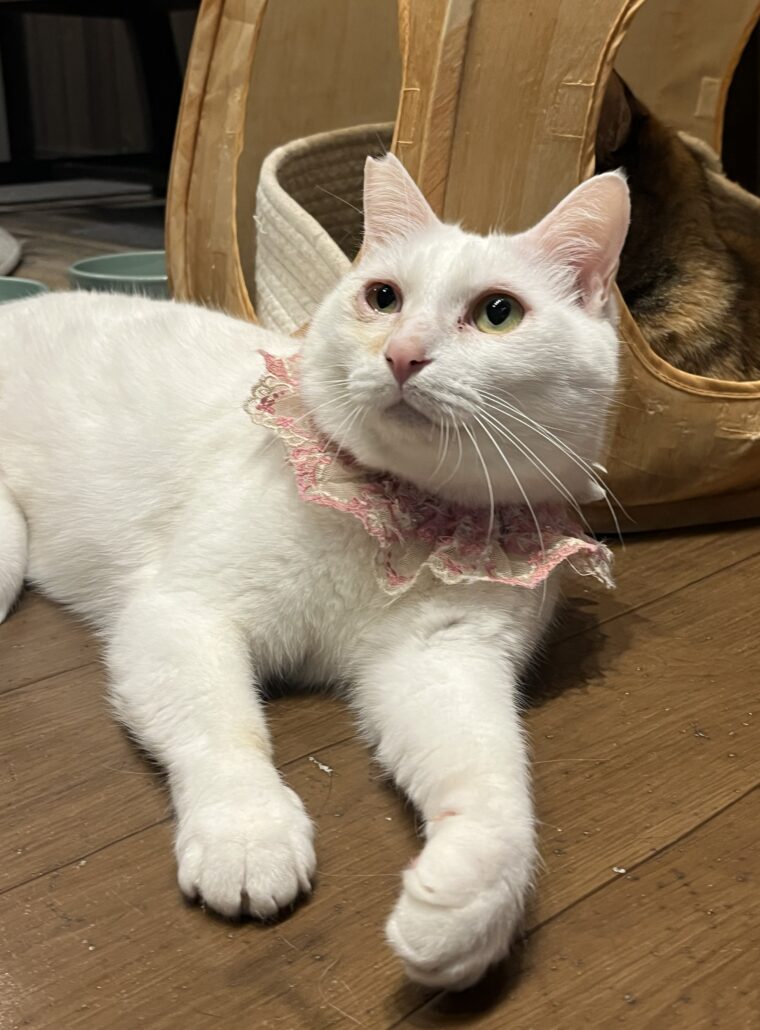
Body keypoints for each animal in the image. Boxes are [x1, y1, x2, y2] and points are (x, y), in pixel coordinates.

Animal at [0, 154, 629, 989]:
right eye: (382, 297)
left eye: (499, 313)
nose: (403, 354)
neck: (390, 514)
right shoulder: (181, 615)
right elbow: (225, 729)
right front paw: (246, 832)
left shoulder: (443, 664)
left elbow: (494, 775)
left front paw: (468, 899)